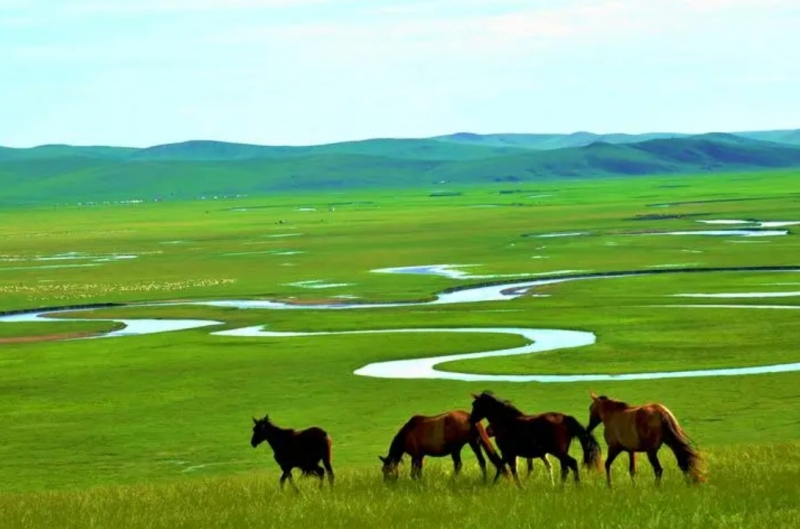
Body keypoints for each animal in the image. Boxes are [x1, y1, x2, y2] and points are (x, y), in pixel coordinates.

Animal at [468, 388, 600, 486]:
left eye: (475, 404)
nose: (470, 420)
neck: (506, 420)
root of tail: (565, 419)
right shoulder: (509, 453)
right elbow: (504, 467)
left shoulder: (508, 452)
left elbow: (509, 469)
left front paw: (518, 487)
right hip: (560, 452)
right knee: (565, 468)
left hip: (558, 451)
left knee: (572, 464)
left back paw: (576, 486)